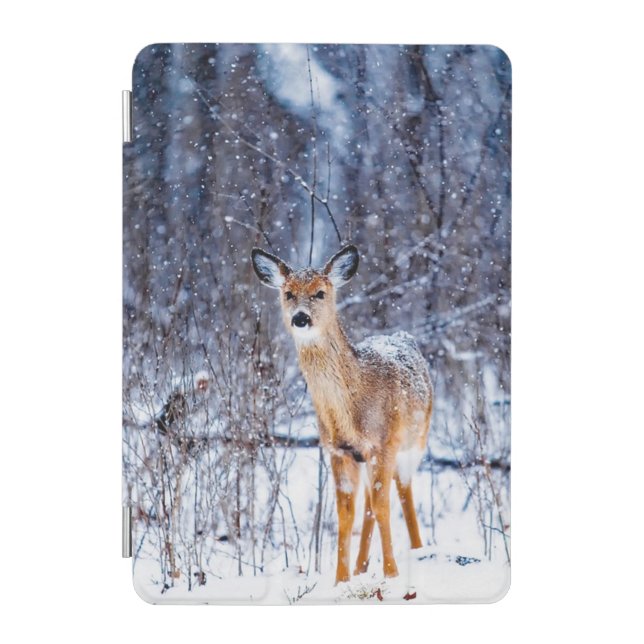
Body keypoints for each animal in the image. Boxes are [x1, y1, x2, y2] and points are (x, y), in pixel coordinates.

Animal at [251, 244, 433, 584]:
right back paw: (362, 567)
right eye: (288, 293)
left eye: (320, 293)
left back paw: (418, 549)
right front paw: (340, 580)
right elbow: (345, 514)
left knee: (402, 491)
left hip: (415, 440)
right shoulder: (339, 450)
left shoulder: (384, 443)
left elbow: (383, 505)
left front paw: (391, 574)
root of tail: (403, 336)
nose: (300, 318)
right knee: (369, 503)